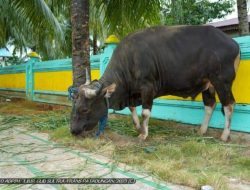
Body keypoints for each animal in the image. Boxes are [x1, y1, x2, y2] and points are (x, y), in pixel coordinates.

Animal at [70, 24, 240, 141]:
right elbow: (132, 109)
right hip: (208, 84)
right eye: (74, 106)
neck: (130, 60)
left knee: (229, 105)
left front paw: (143, 134)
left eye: (84, 109)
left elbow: (145, 112)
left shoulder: (148, 88)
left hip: (222, 82)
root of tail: (232, 42)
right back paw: (202, 130)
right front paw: (138, 127)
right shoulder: (133, 93)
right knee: (210, 105)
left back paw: (225, 135)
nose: (73, 130)